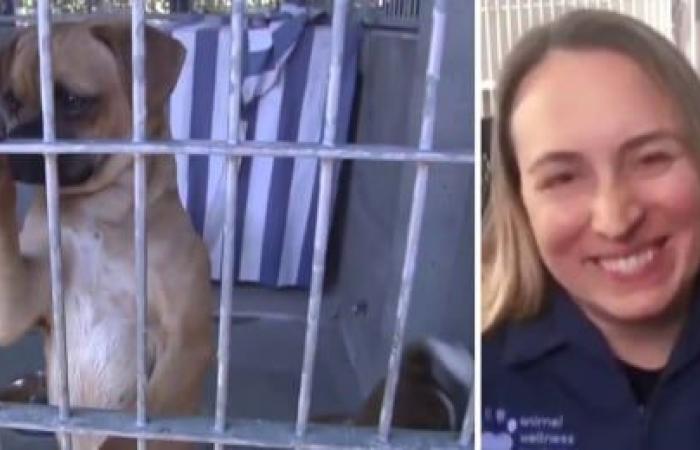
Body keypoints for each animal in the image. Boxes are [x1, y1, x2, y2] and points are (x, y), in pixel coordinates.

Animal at [0, 20, 215, 446]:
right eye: (11, 102)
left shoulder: (187, 342)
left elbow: (132, 429)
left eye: (72, 100)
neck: (97, 216)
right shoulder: (16, 306)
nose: (16, 147)